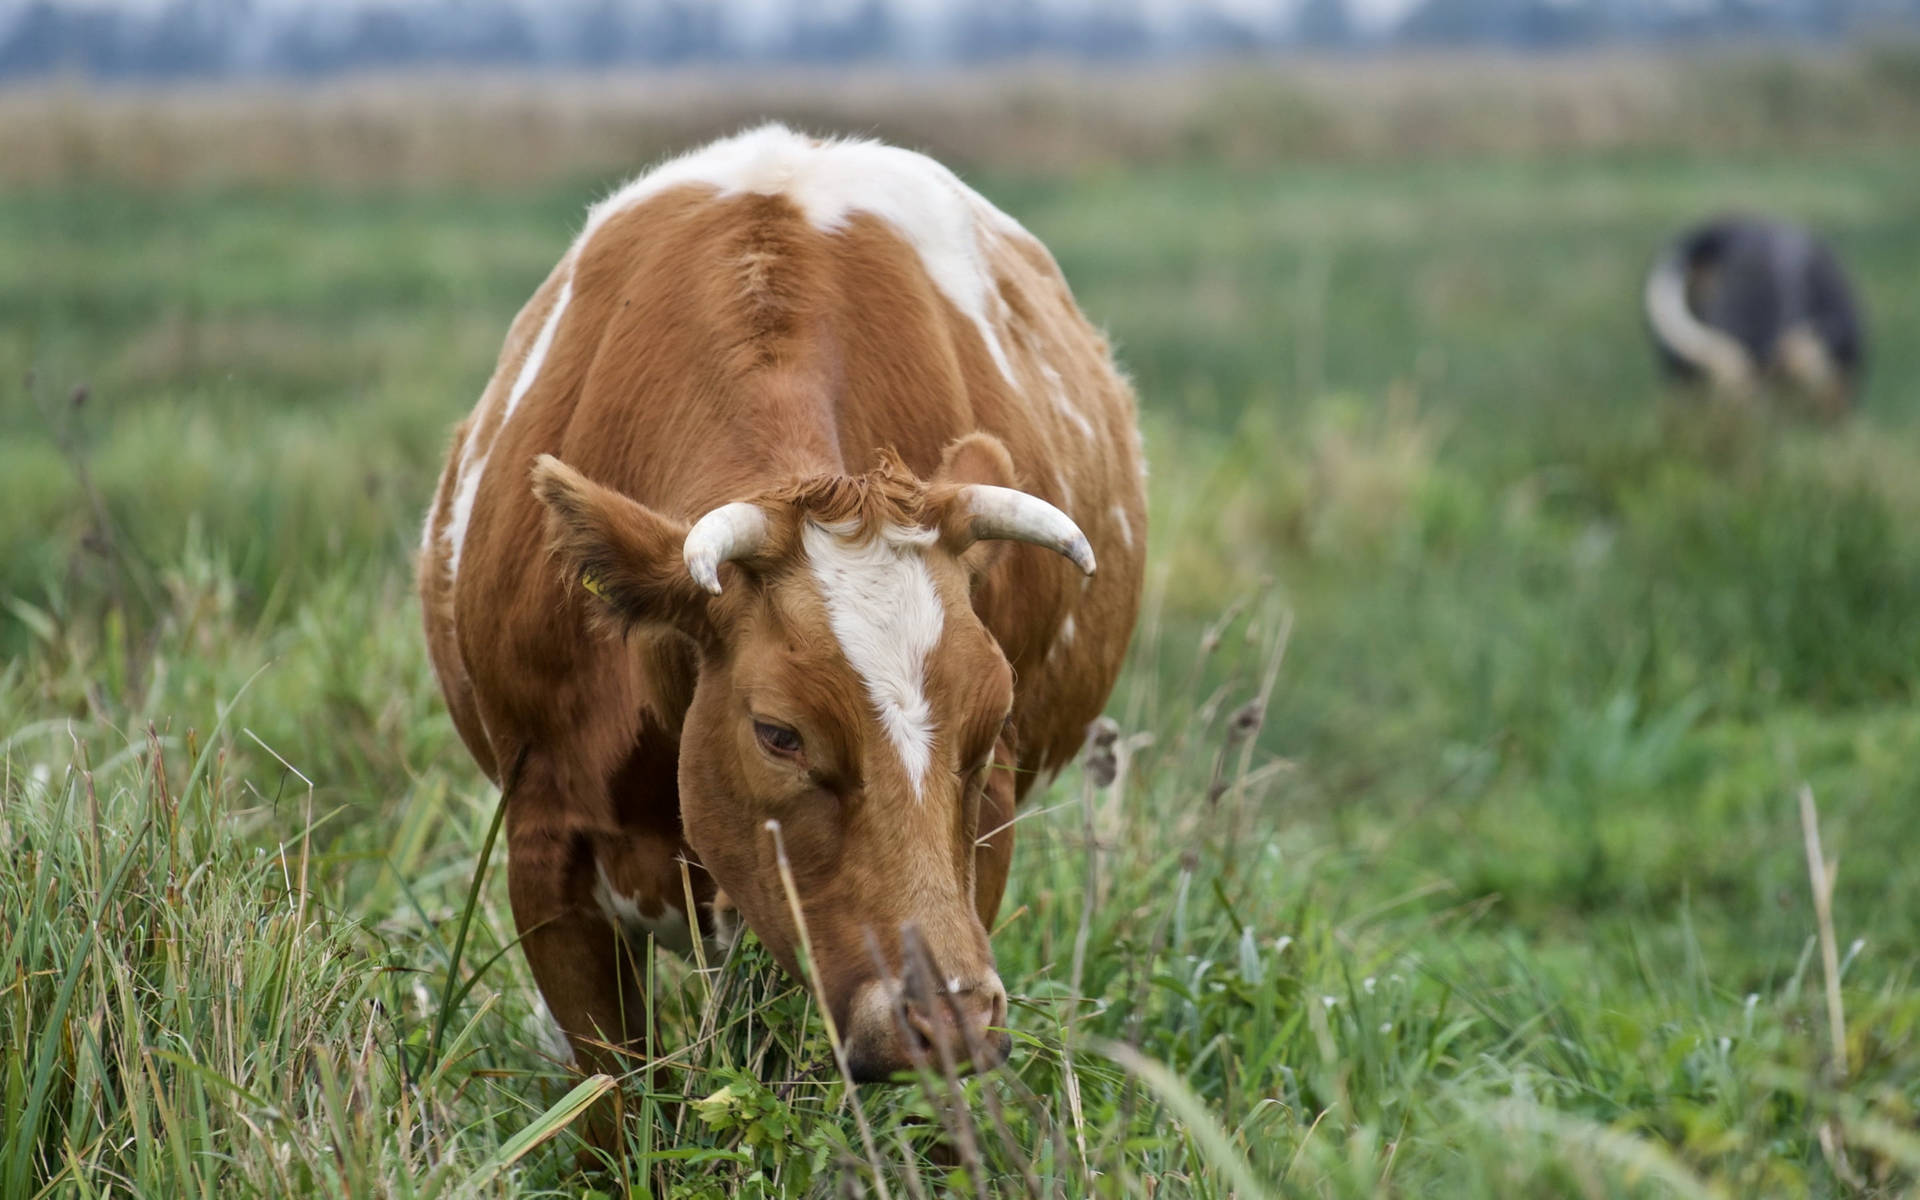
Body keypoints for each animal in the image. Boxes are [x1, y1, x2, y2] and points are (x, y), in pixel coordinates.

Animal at [414, 126, 1144, 1090]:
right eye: (778, 734)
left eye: (991, 723)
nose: (945, 1018)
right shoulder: (544, 851)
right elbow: (612, 1091)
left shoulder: (984, 836)